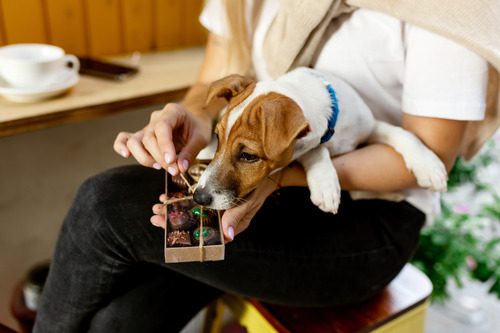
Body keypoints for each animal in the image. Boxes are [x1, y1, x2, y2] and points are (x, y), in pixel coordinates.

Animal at [193, 67, 448, 213]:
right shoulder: (313, 142)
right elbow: (316, 150)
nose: (198, 197)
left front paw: (429, 167)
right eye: (218, 137)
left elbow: (403, 134)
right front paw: (325, 185)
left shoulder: (370, 125)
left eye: (248, 156)